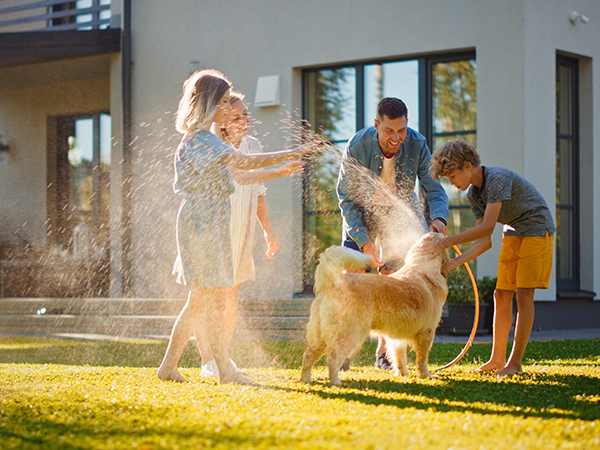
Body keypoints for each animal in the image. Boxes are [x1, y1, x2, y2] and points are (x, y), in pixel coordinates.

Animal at [302, 234, 448, 384]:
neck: (423, 267)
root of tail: (334, 283)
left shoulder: (397, 338)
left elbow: (400, 358)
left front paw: (403, 374)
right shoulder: (427, 333)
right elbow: (422, 360)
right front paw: (426, 375)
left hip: (321, 337)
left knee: (308, 355)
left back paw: (305, 380)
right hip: (351, 335)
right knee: (332, 358)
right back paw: (336, 382)